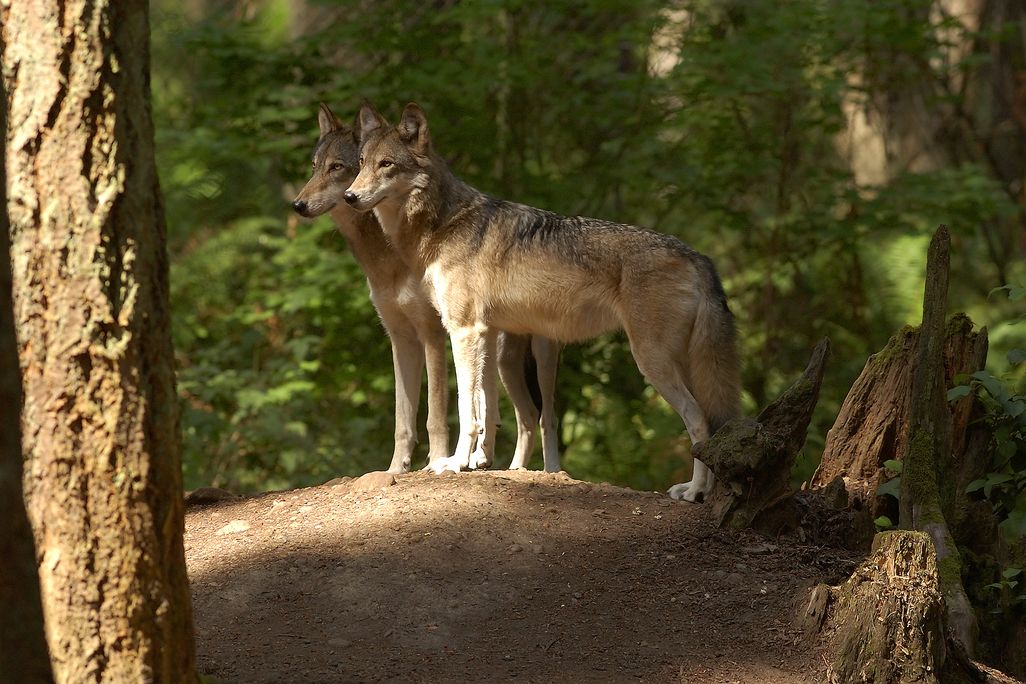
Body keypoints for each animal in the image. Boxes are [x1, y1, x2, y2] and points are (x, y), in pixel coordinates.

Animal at [292, 104, 560, 473]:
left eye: (337, 167)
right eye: (314, 167)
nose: (297, 205)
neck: (388, 256)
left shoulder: (432, 334)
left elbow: (435, 414)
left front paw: (436, 461)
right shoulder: (400, 338)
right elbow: (402, 420)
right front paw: (395, 470)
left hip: (538, 360)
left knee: (546, 418)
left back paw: (549, 472)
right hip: (501, 361)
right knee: (523, 416)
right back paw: (501, 465)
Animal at [343, 103, 740, 502]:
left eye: (386, 164)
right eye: (361, 163)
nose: (349, 196)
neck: (444, 222)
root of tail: (699, 257)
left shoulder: (462, 331)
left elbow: (466, 409)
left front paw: (453, 464)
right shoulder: (485, 334)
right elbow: (485, 407)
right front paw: (476, 462)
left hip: (649, 361)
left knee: (698, 420)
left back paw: (695, 492)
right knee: (707, 420)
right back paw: (698, 489)